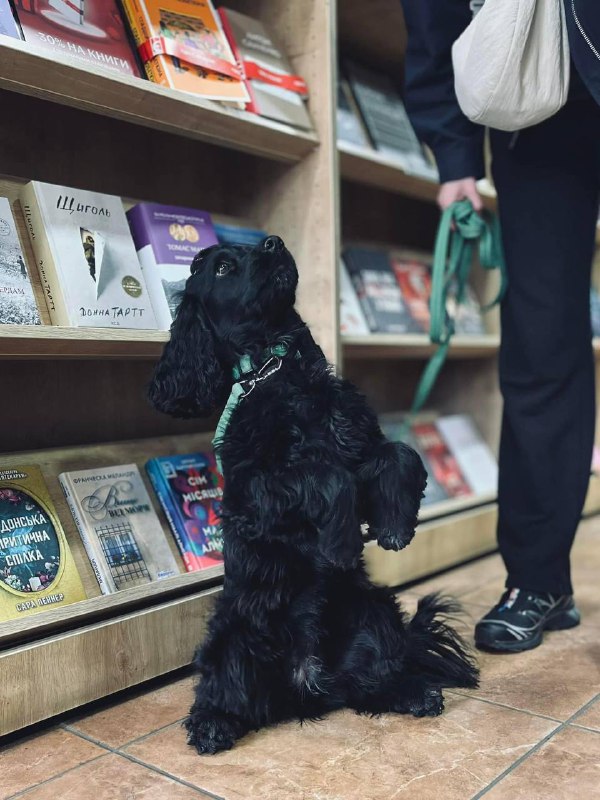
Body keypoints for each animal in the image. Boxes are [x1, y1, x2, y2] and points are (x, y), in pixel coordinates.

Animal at [150, 234, 478, 752]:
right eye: (221, 267)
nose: (273, 242)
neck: (280, 374)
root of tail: (307, 684)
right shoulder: (261, 492)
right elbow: (325, 476)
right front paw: (341, 543)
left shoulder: (358, 444)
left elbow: (400, 453)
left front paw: (395, 525)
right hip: (233, 635)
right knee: (224, 694)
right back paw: (212, 726)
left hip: (374, 614)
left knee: (370, 684)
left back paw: (414, 693)